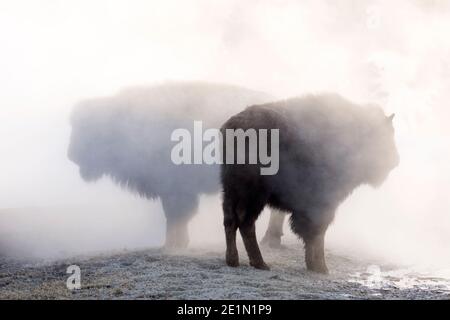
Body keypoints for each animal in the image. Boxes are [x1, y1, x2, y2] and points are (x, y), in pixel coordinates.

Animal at [68, 81, 276, 249]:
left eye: (89, 127)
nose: (71, 155)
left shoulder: (176, 190)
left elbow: (176, 215)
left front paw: (173, 244)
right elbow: (174, 215)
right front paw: (175, 243)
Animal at [220, 94, 400, 274]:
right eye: (383, 135)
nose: (395, 161)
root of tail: (232, 127)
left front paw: (315, 265)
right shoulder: (322, 205)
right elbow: (317, 233)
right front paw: (321, 267)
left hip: (231, 193)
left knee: (231, 221)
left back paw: (234, 260)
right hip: (254, 196)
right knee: (245, 222)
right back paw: (260, 263)